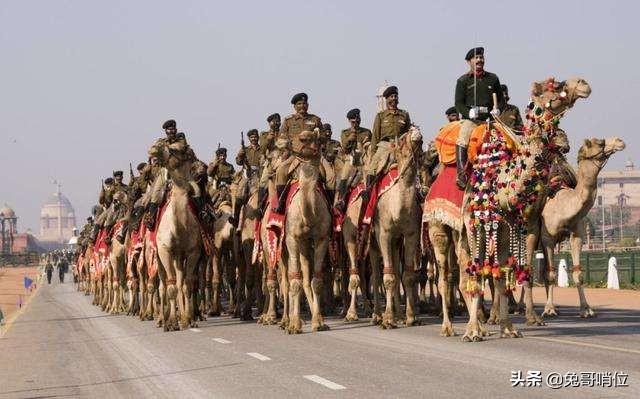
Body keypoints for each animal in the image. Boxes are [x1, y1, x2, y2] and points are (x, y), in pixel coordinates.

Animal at [536, 138, 624, 318]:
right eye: (599, 143)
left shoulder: (576, 235)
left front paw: (586, 309)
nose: (620, 141)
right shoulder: (547, 238)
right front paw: (549, 309)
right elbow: (551, 273)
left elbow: (578, 273)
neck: (564, 204)